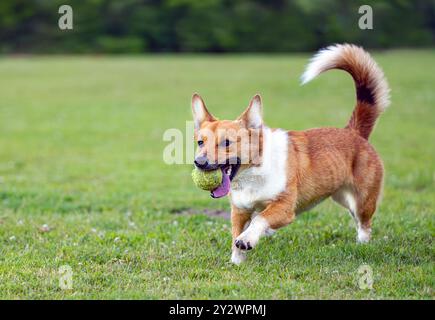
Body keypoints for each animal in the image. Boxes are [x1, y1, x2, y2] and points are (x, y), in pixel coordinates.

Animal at [191, 45, 392, 264]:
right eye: (200, 142)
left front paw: (247, 240)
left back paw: (362, 244)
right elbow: (237, 234)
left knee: (364, 224)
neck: (252, 175)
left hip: (362, 201)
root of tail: (354, 132)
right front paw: (237, 261)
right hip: (341, 196)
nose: (199, 162)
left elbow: (260, 219)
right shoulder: (240, 210)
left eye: (226, 143)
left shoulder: (285, 207)